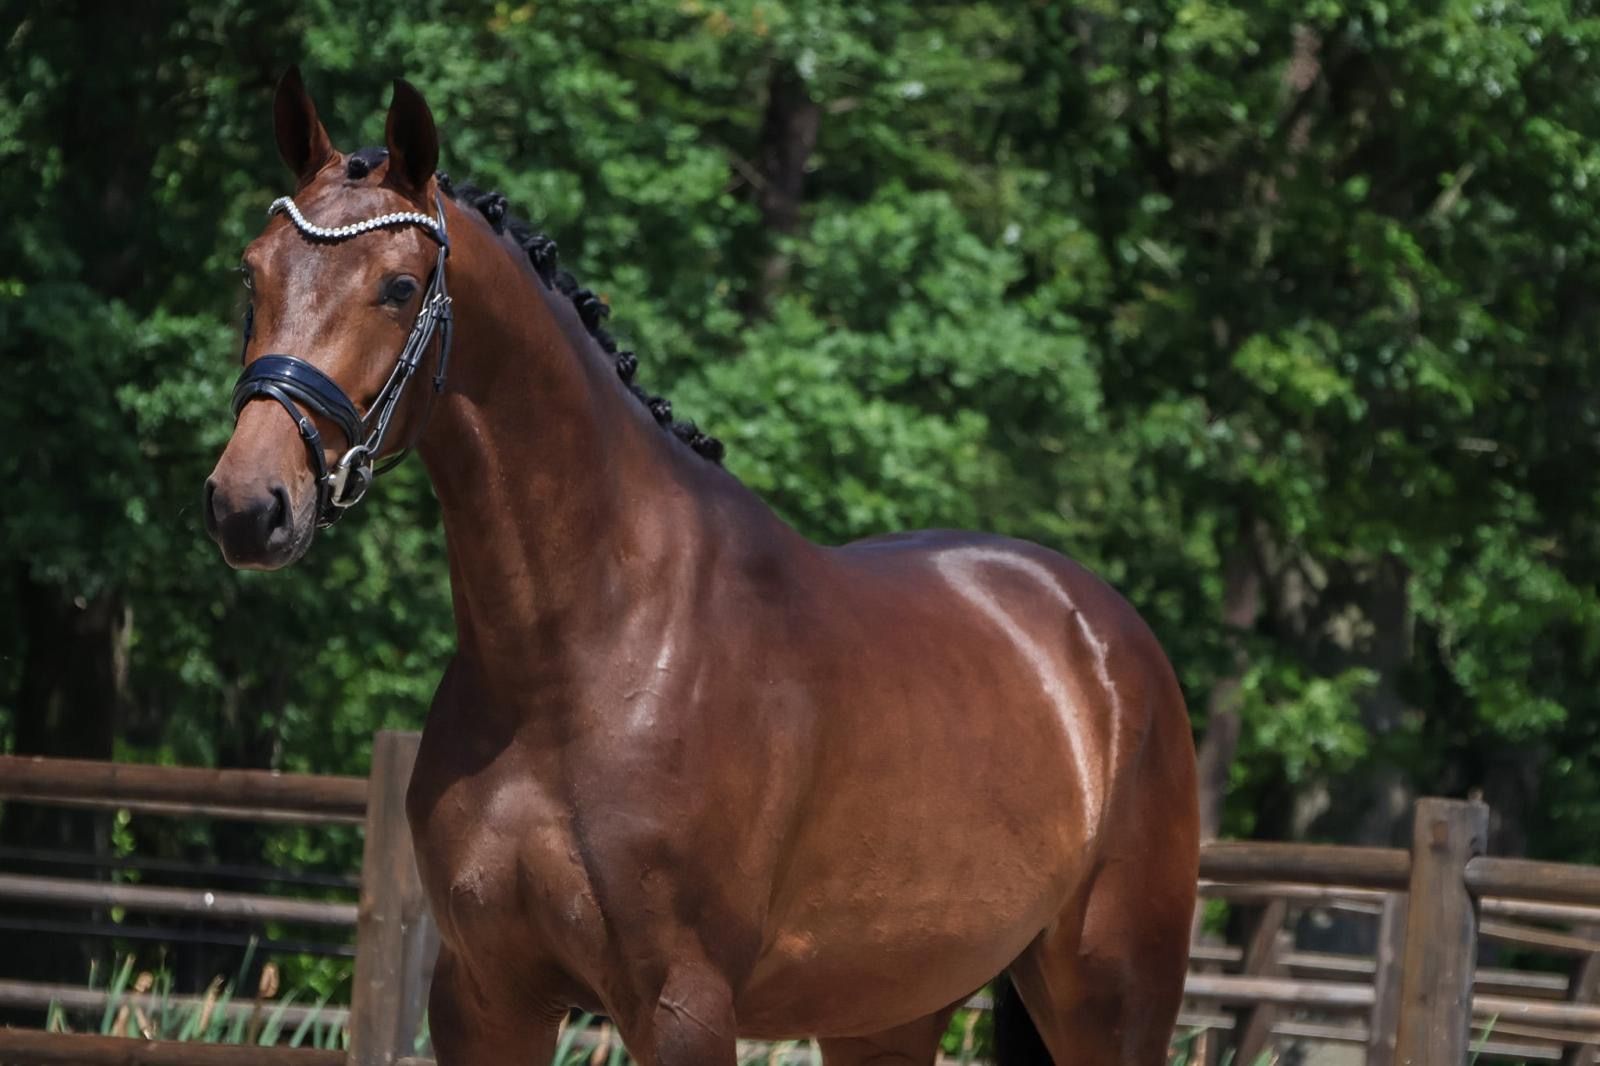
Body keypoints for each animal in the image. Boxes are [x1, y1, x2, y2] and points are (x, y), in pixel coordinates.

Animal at [204, 68, 1199, 1066]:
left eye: (400, 286)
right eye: (252, 271)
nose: (250, 505)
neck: (583, 650)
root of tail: (1103, 635)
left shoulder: (682, 1004)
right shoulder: (485, 997)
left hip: (1112, 1001)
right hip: (888, 1012)